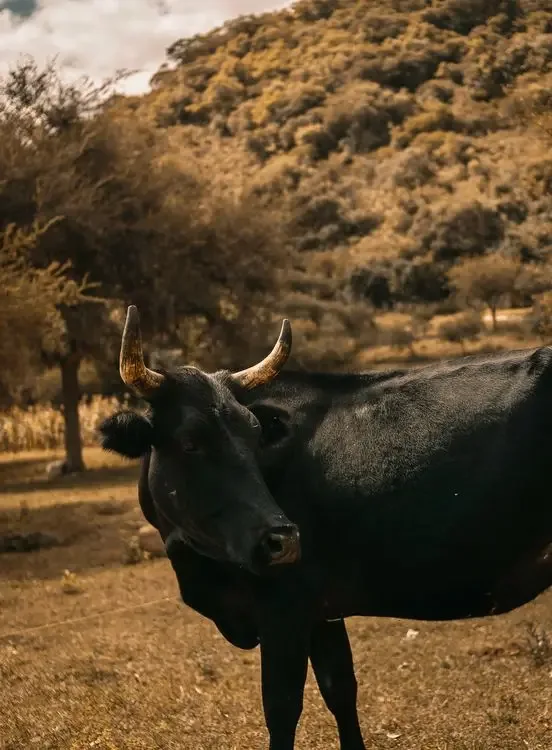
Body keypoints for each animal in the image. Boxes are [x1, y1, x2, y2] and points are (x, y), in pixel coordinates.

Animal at [99, 305, 552, 750]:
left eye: (255, 437)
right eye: (190, 442)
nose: (282, 541)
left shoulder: (286, 608)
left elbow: (282, 709)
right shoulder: (322, 612)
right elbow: (340, 689)